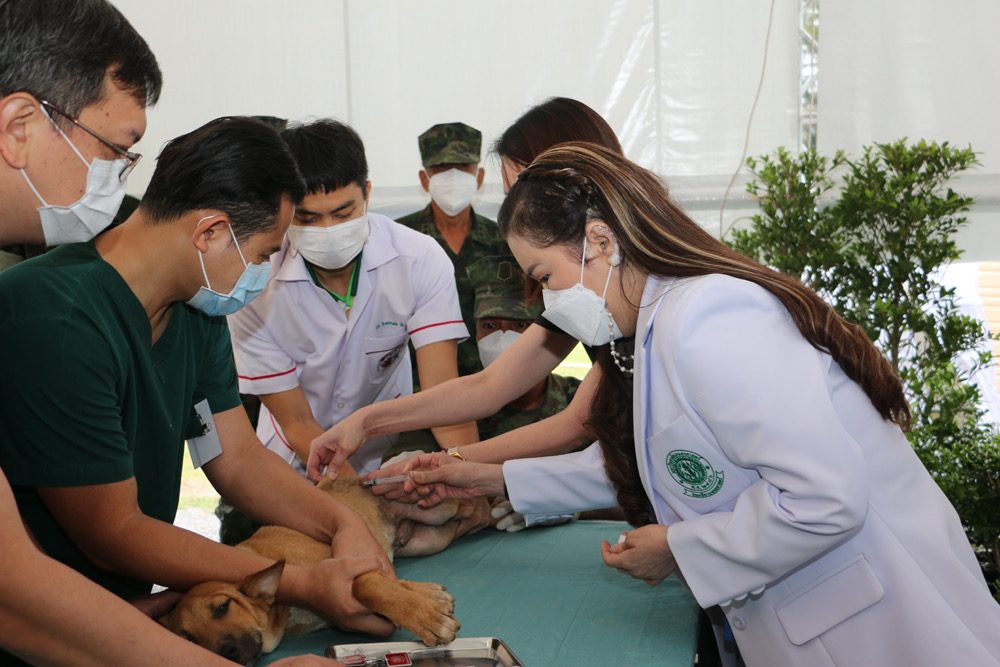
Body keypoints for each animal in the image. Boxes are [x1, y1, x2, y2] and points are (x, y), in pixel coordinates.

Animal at [159, 475, 466, 664]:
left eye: (223, 607)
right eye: (190, 640)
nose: (226, 652)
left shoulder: (351, 562)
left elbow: (367, 586)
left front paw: (425, 615)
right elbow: (387, 583)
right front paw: (428, 600)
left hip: (440, 510)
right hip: (430, 539)